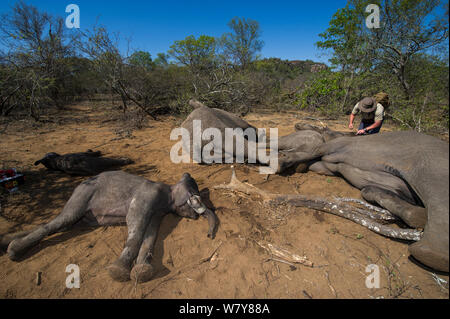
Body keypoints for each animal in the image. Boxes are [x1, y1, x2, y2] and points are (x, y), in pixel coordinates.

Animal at [1, 172, 220, 282]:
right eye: (195, 196)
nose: (209, 236)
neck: (169, 190)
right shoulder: (148, 195)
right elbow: (135, 223)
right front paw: (118, 272)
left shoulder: (158, 212)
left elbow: (151, 235)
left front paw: (142, 272)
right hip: (83, 193)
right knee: (61, 220)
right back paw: (13, 251)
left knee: (64, 224)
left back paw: (6, 243)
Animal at [276, 125, 448, 272]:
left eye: (321, 127)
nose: (298, 125)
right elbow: (368, 189)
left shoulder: (336, 145)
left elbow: (314, 150)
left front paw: (282, 162)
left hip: (431, 168)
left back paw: (430, 252)